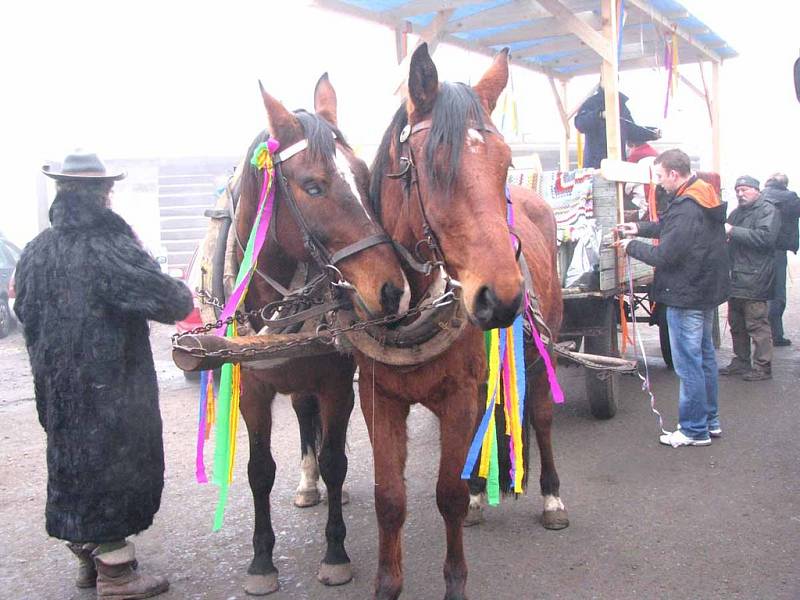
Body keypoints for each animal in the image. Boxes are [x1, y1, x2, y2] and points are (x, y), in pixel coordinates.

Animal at [230, 76, 406, 596]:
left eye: (365, 176)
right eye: (313, 186)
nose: (391, 289)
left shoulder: (335, 383)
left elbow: (335, 461)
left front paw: (335, 554)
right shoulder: (253, 388)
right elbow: (260, 471)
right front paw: (262, 562)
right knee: (304, 418)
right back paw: (309, 486)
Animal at [360, 43, 564, 600]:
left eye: (506, 163)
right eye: (433, 165)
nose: (504, 297)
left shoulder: (456, 392)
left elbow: (445, 494)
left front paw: (455, 581)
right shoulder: (379, 398)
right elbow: (390, 498)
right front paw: (387, 583)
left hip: (542, 351)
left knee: (540, 417)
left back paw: (552, 498)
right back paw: (479, 492)